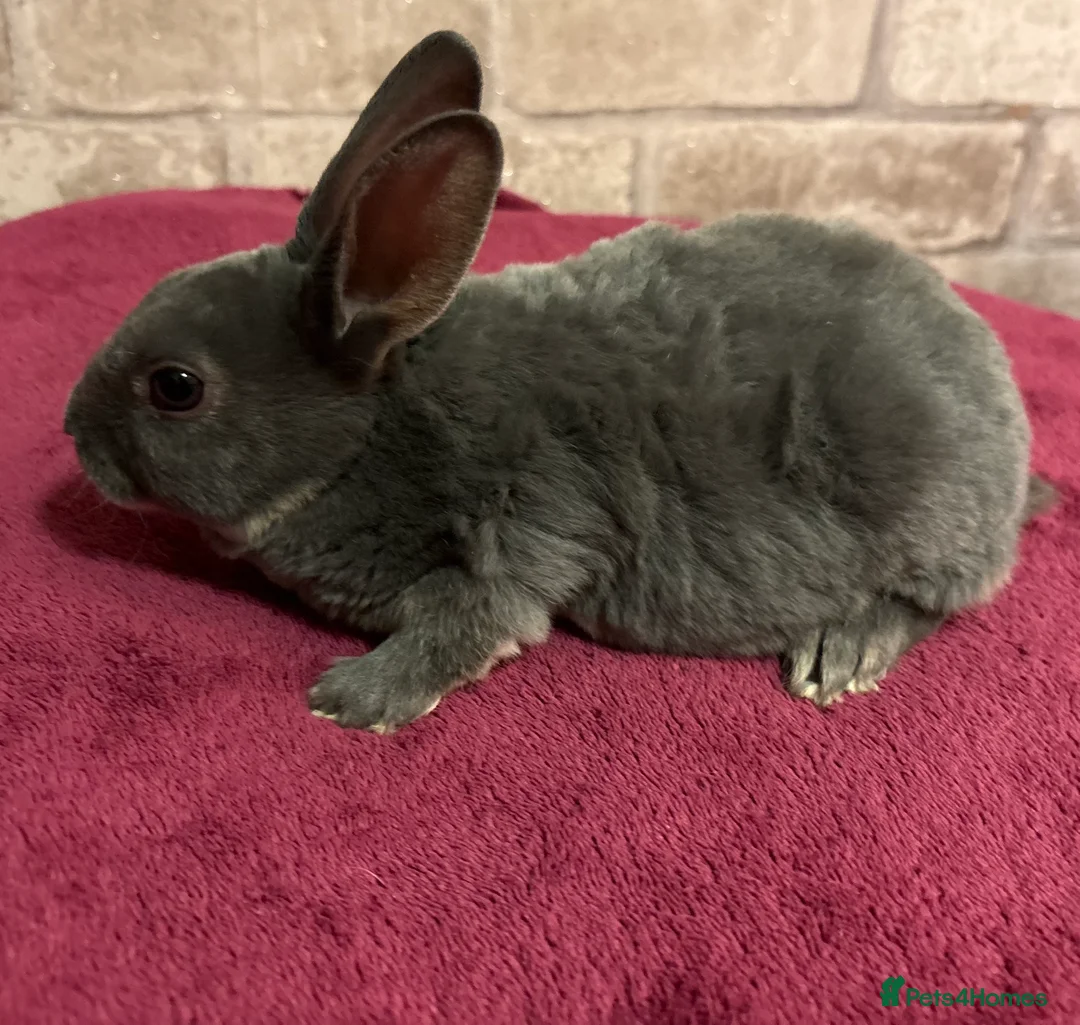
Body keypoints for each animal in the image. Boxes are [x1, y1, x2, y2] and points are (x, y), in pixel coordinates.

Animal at [63, 30, 1056, 733]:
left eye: (176, 387)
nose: (74, 432)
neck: (370, 427)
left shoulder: (522, 529)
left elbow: (465, 626)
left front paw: (352, 697)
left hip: (926, 518)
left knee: (937, 601)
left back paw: (839, 653)